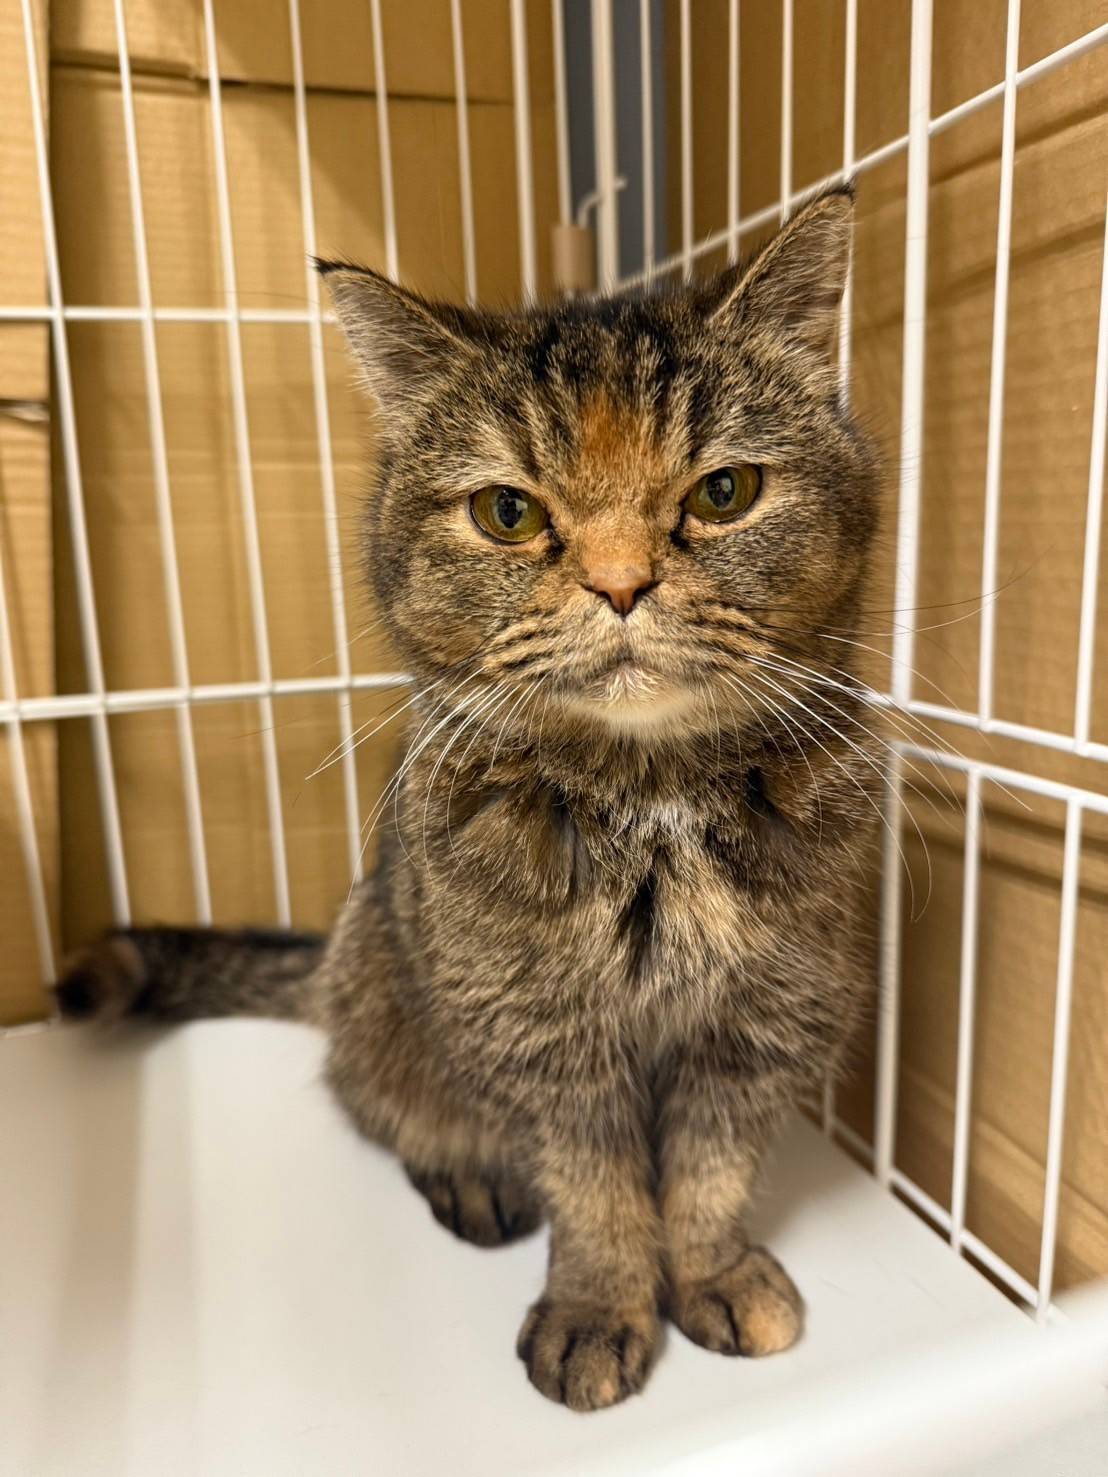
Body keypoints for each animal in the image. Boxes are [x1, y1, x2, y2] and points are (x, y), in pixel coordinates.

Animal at [56, 186, 880, 1413]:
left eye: (723, 492)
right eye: (507, 513)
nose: (621, 583)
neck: (649, 804)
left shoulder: (768, 1016)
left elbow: (710, 1171)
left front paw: (713, 1273)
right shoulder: (533, 1033)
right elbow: (594, 1189)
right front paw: (598, 1308)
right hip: (387, 993)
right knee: (389, 1105)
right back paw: (471, 1180)